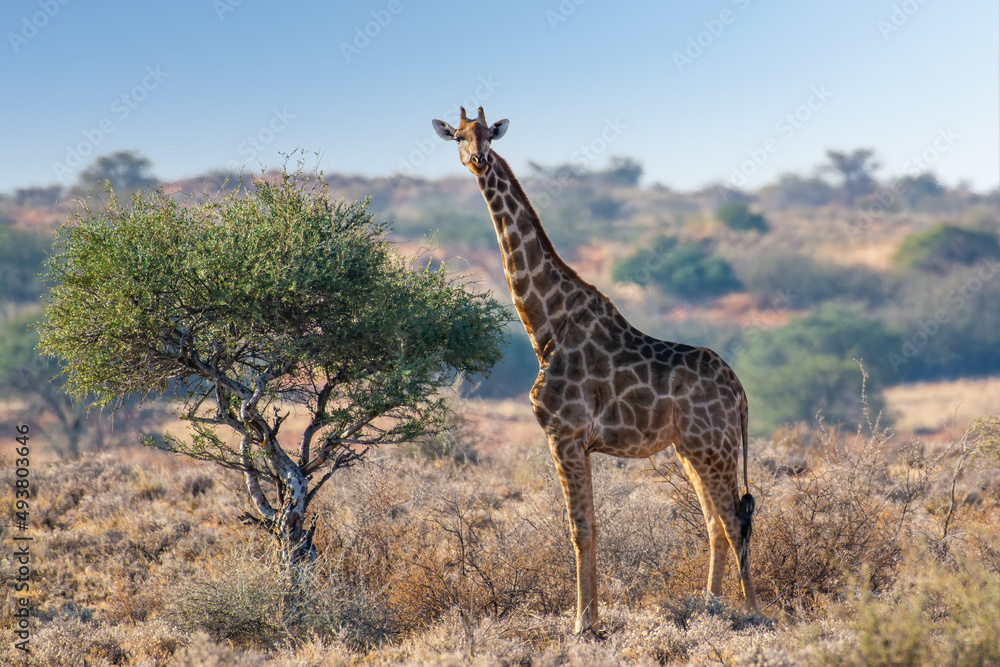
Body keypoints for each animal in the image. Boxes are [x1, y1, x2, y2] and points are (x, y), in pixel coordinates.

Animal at [432, 107, 760, 633]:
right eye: (459, 137)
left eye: (487, 135)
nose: (479, 159)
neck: (546, 325)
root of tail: (740, 392)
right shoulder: (578, 441)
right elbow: (590, 528)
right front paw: (591, 618)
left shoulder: (562, 434)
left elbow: (580, 530)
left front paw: (583, 625)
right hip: (691, 449)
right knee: (716, 522)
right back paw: (710, 605)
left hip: (713, 446)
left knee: (735, 521)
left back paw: (752, 612)